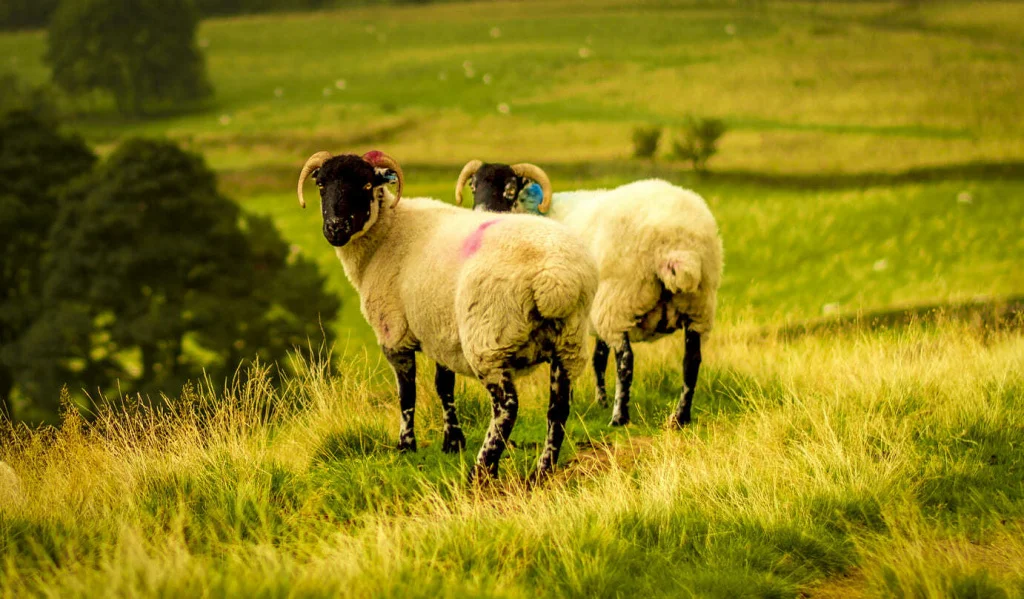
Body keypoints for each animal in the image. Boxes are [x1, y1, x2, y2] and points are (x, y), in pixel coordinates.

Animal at [294, 151, 598, 479]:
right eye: (321, 184)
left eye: (365, 184)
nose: (335, 229)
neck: (387, 233)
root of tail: (555, 277)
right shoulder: (440, 331)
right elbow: (444, 386)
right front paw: (452, 441)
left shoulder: (394, 333)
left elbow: (407, 395)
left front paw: (406, 446)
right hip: (568, 344)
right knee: (558, 408)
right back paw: (542, 470)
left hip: (489, 341)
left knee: (507, 407)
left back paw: (483, 469)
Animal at [456, 160, 720, 428]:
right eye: (473, 185)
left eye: (510, 189)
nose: (480, 213)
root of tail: (675, 243)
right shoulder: (590, 319)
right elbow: (598, 359)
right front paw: (598, 401)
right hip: (697, 307)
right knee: (691, 362)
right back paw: (680, 418)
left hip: (620, 302)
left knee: (626, 361)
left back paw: (619, 418)